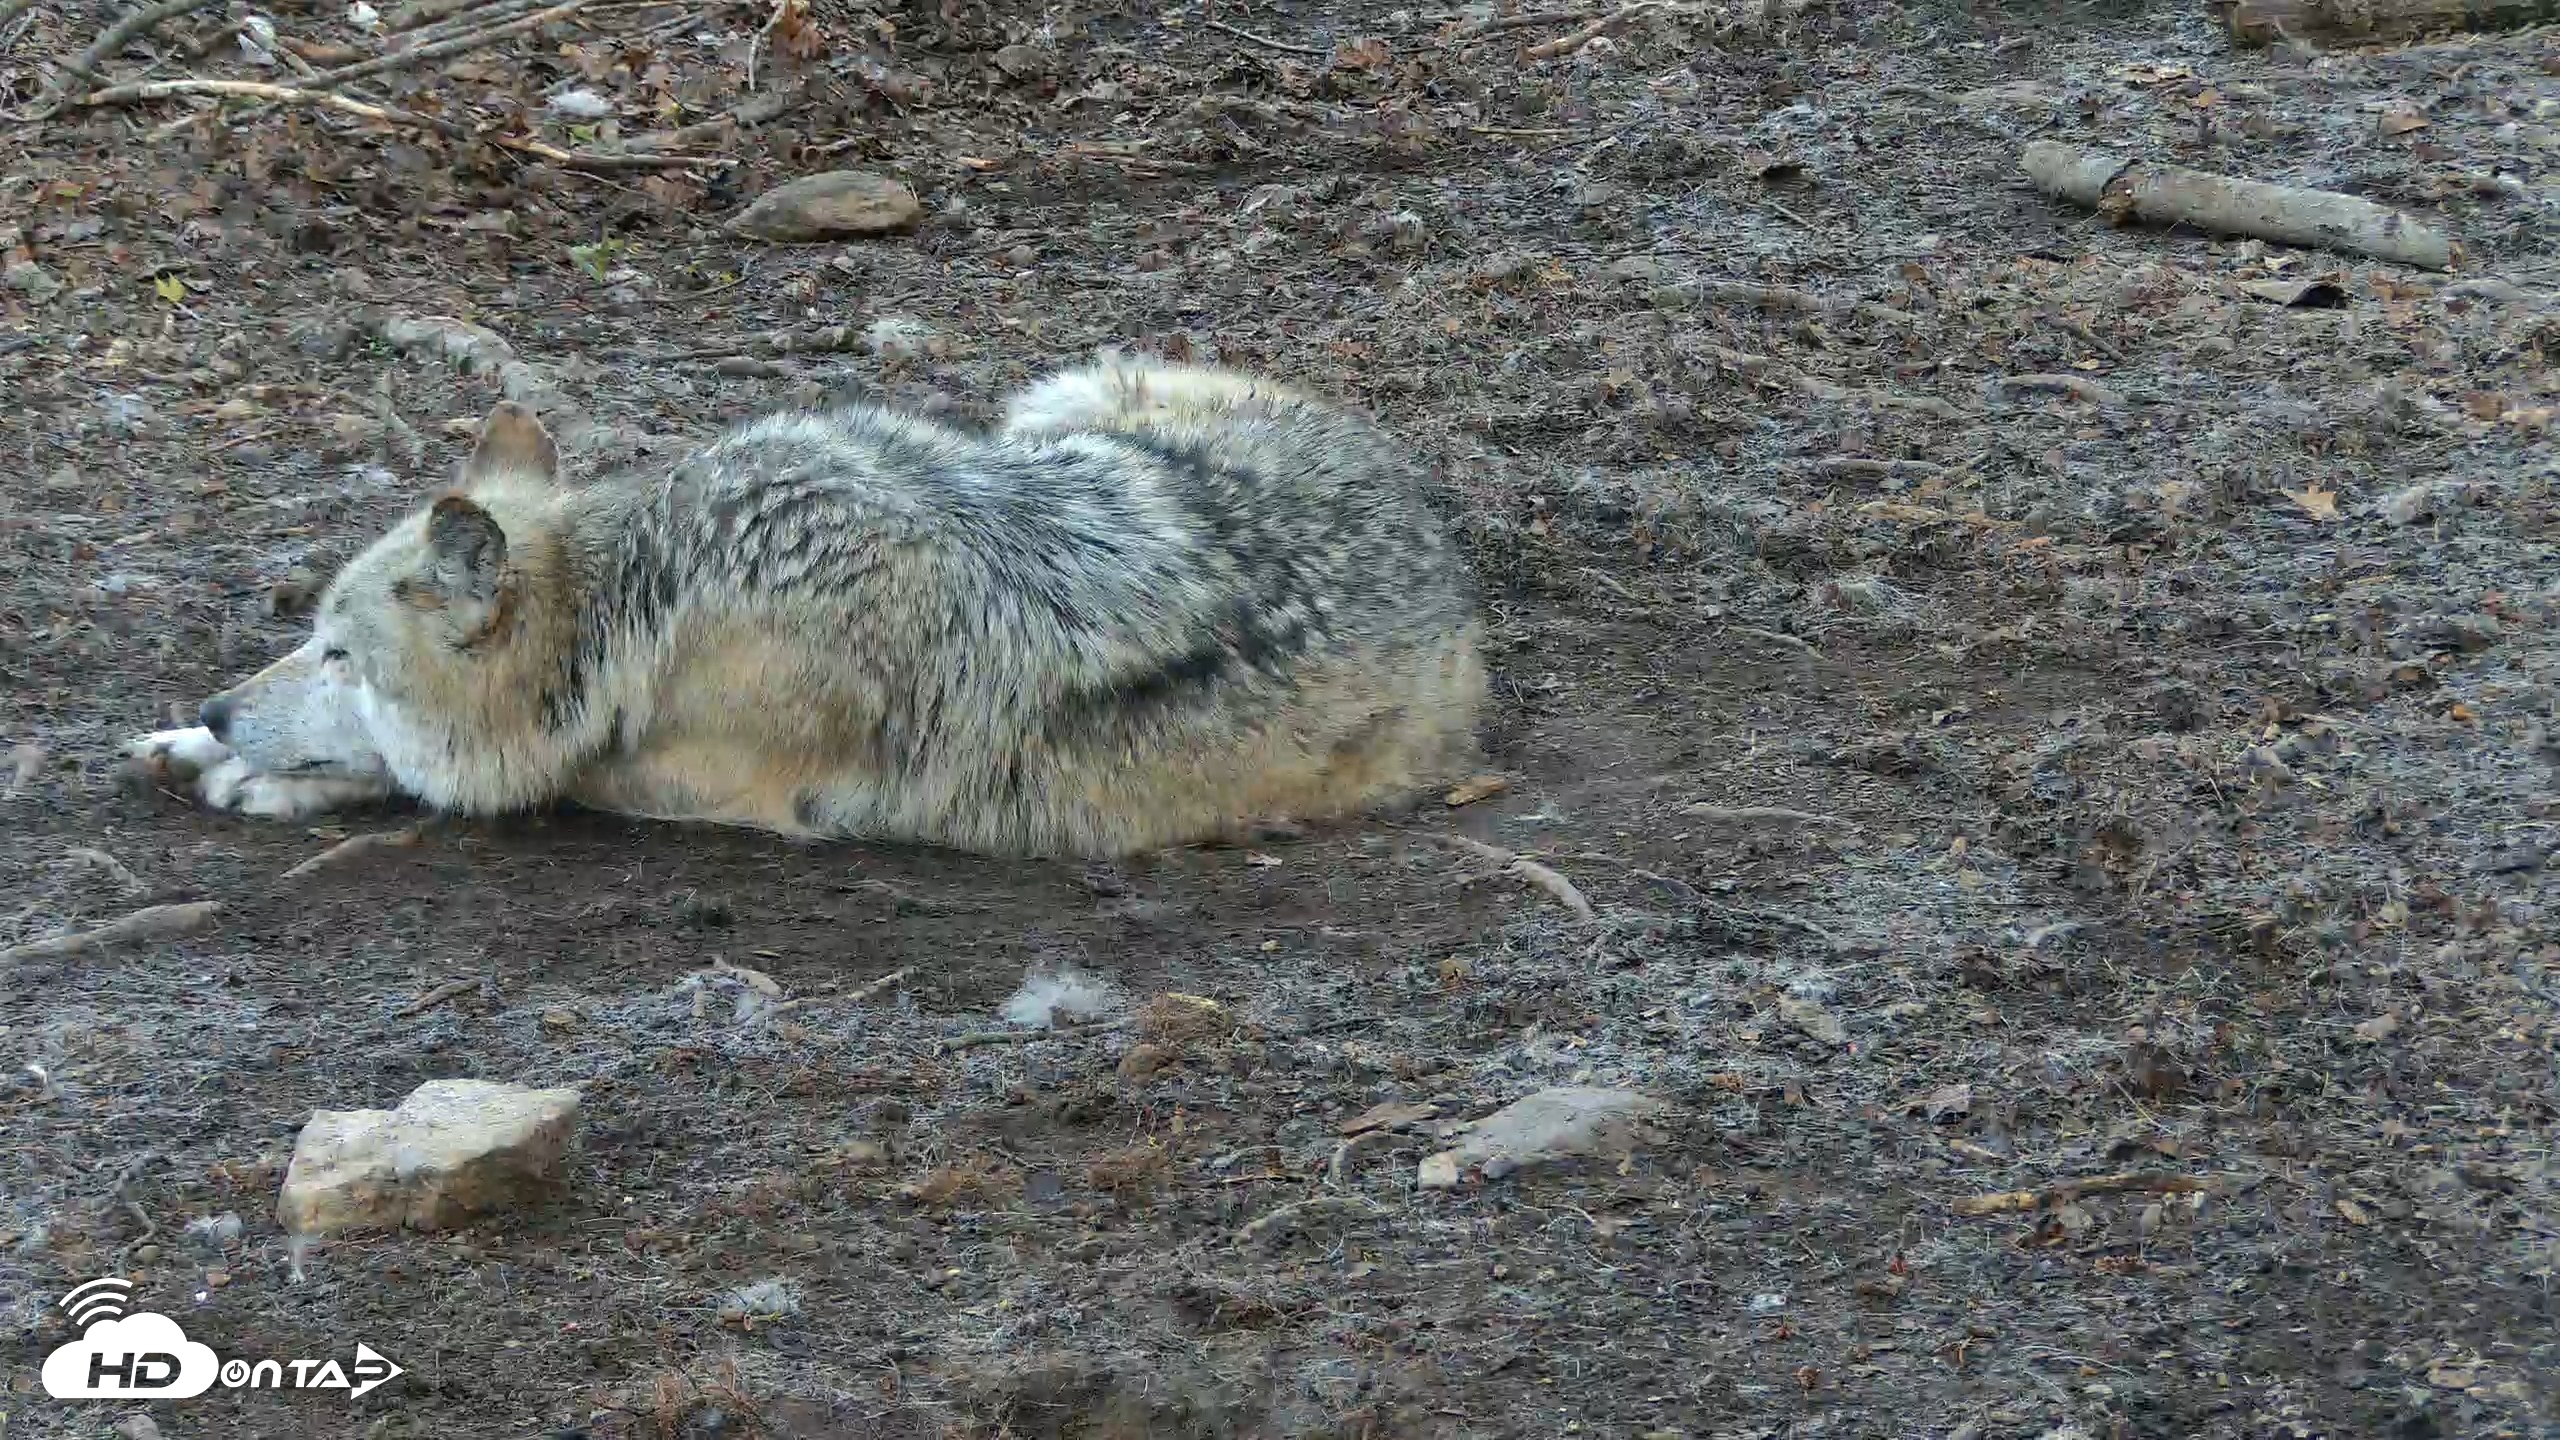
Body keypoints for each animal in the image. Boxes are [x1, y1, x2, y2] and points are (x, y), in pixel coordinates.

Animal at [127, 353, 1489, 859]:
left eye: (338, 653)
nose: (219, 703)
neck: (663, 596)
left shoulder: (713, 785)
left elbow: (471, 778)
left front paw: (256, 775)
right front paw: (186, 741)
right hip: (1050, 406)